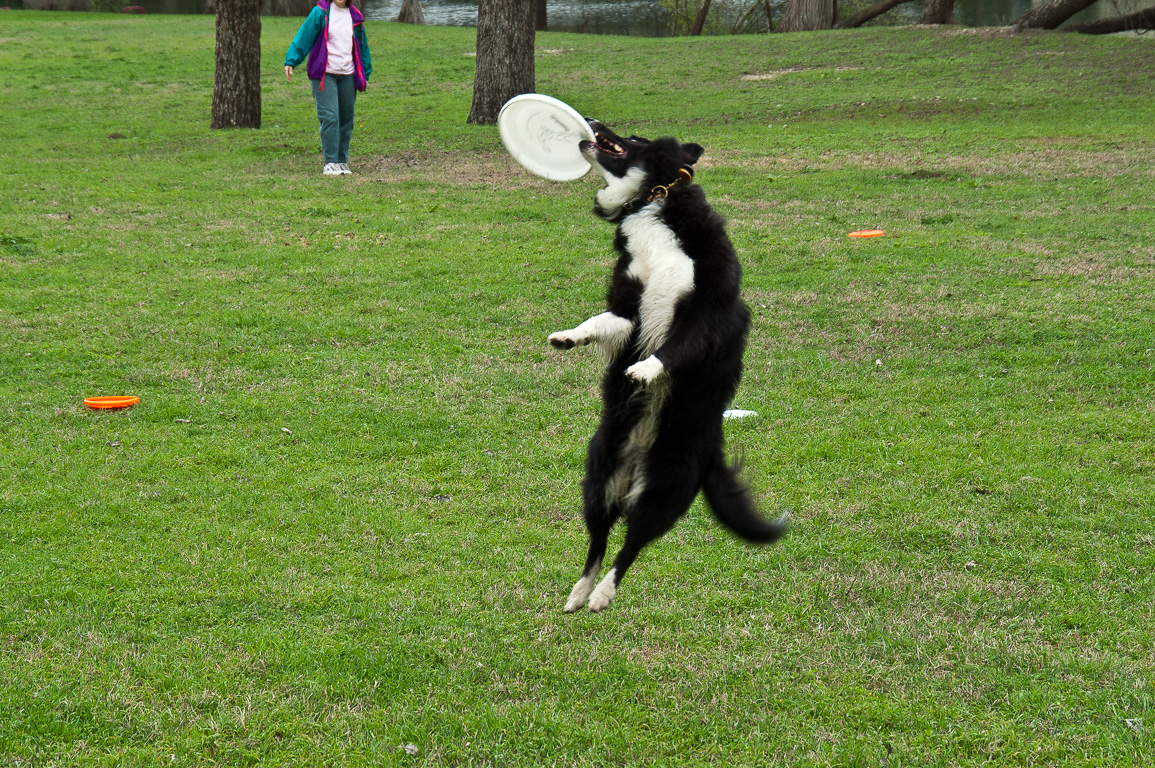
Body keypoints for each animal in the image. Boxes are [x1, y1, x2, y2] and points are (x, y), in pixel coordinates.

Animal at [547, 121, 785, 609]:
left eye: (636, 139)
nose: (592, 124)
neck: (652, 203)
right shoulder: (626, 308)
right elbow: (598, 321)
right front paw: (568, 337)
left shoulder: (702, 316)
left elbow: (673, 350)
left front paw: (644, 371)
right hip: (599, 480)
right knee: (599, 542)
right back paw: (580, 593)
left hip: (663, 488)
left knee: (631, 546)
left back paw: (603, 594)